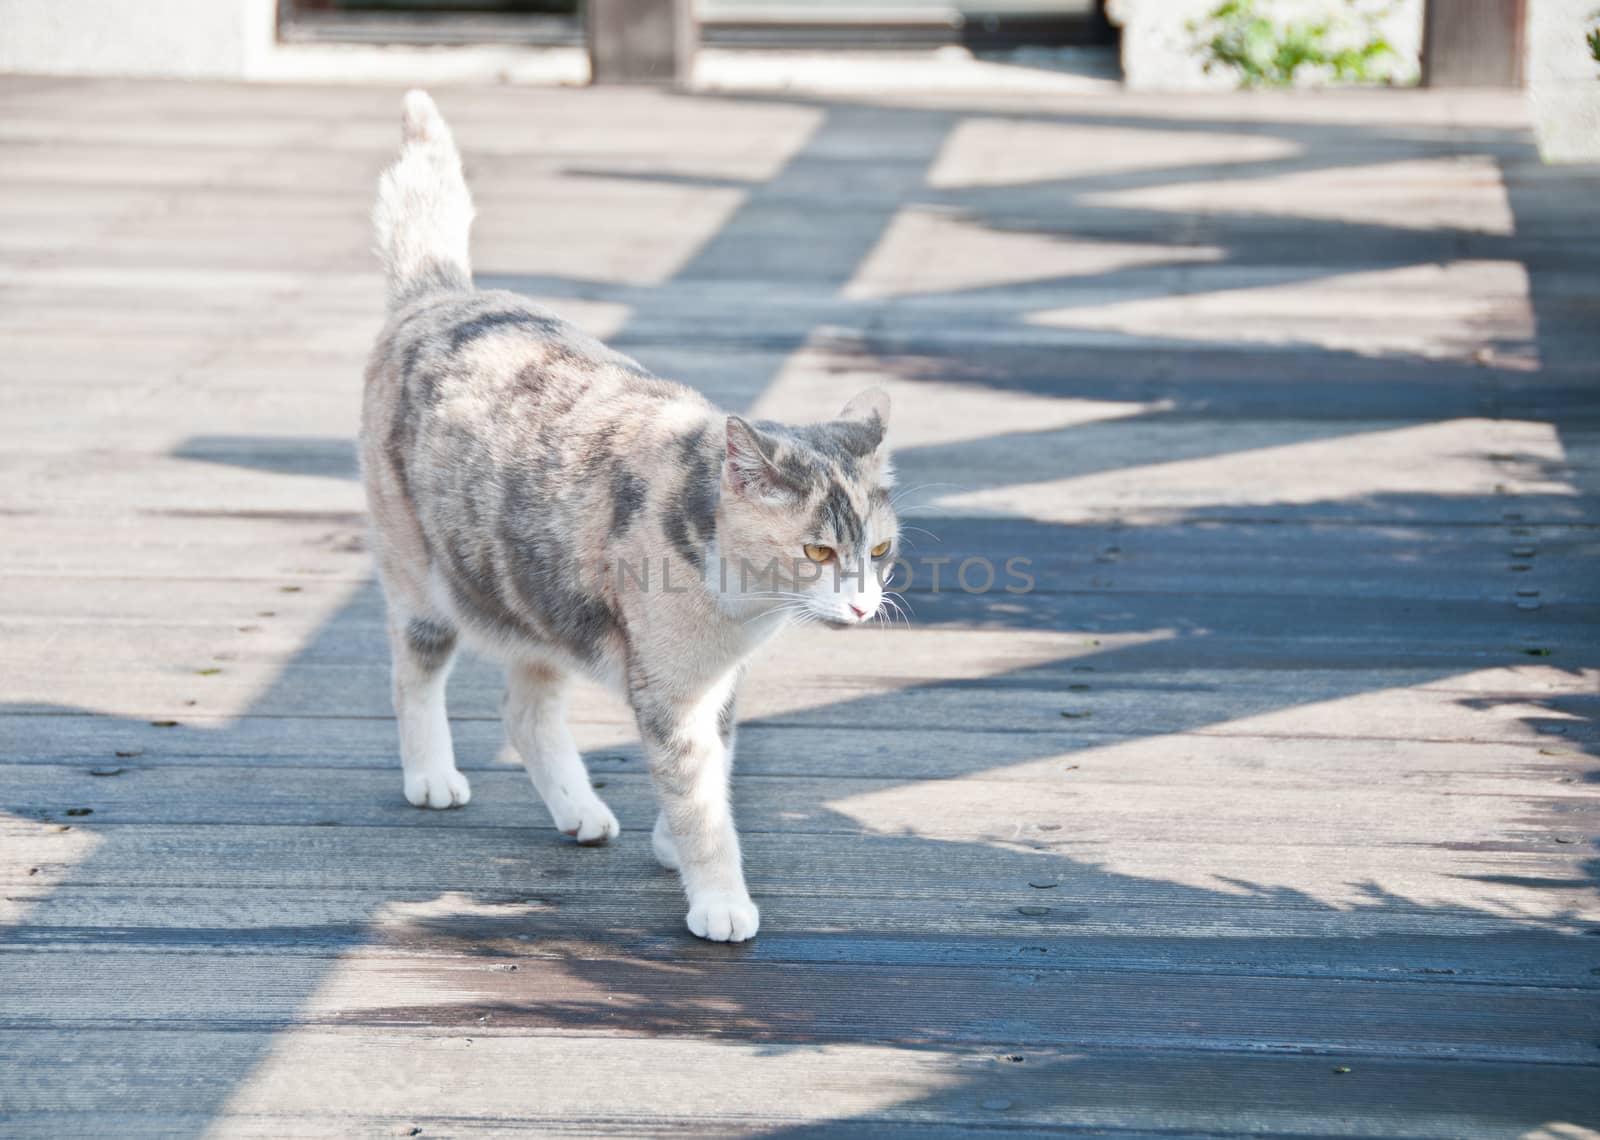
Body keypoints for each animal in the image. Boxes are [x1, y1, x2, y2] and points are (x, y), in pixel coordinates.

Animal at [360, 91, 902, 941]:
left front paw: (669, 844)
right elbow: (701, 802)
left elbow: (713, 771)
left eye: (877, 552)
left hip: (540, 602)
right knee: (413, 673)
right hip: (423, 583)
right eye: (818, 554)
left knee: (525, 712)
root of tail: (441, 296)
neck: (740, 614)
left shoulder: (716, 689)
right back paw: (433, 775)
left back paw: (579, 811)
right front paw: (717, 896)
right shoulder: (672, 692)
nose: (861, 604)